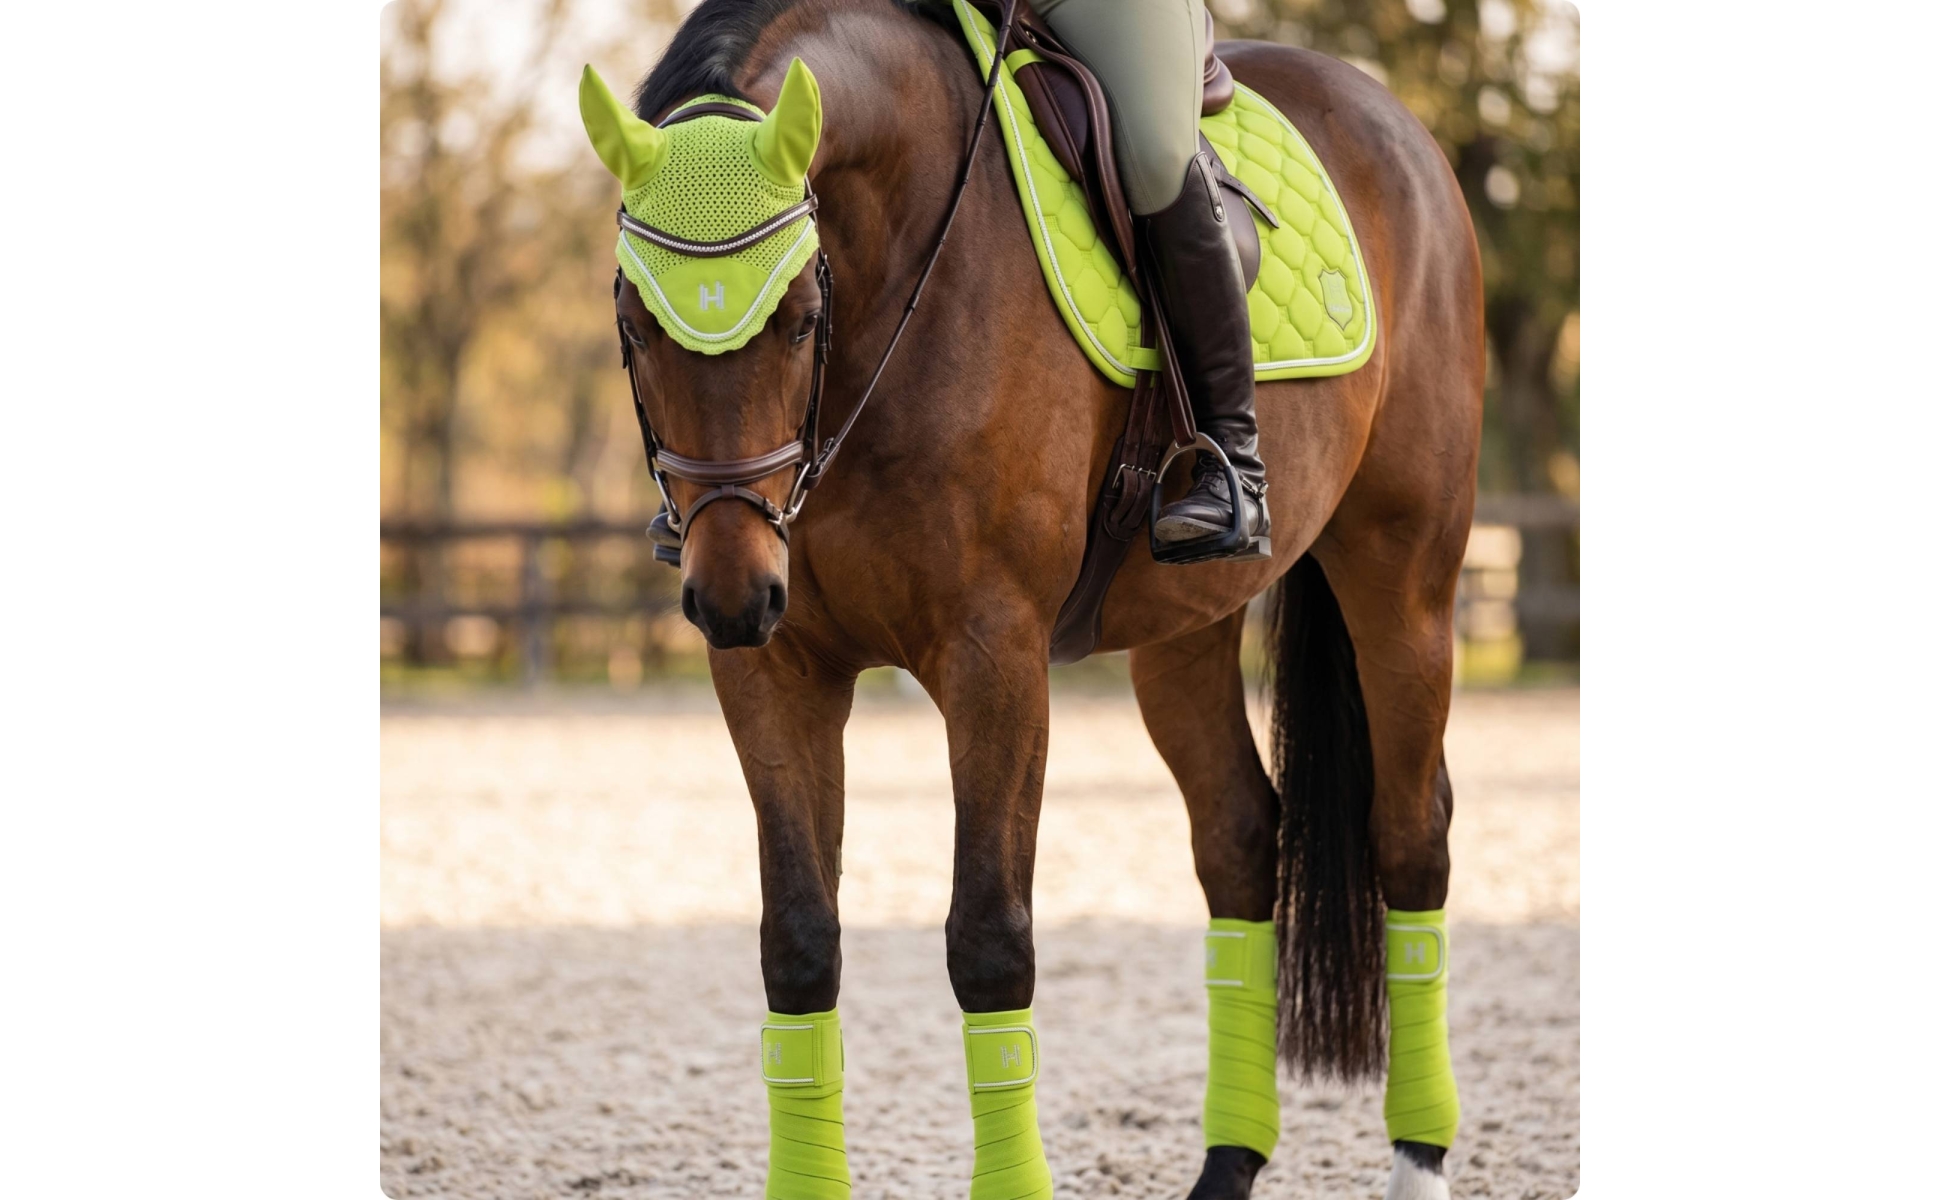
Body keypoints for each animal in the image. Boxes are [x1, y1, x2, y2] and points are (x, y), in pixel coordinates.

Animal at [601, 1, 1482, 1196]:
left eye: (797, 315)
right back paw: (1226, 1165)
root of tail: (1392, 118)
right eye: (637, 325)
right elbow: (797, 942)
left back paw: (1418, 1157)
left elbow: (988, 940)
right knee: (1239, 840)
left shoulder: (994, 658)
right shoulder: (775, 670)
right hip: (1184, 627)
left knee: (1410, 834)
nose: (731, 592)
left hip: (1404, 579)